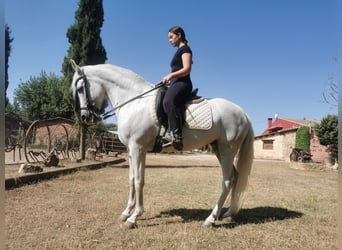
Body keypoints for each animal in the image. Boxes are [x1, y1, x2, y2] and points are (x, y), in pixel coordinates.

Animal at [70, 60, 254, 229]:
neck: (134, 101)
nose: (85, 117)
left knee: (227, 181)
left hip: (227, 150)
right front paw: (126, 212)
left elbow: (138, 181)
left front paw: (134, 217)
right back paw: (228, 213)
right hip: (218, 149)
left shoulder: (137, 148)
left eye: (80, 89)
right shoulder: (134, 150)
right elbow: (133, 179)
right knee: (235, 177)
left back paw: (211, 219)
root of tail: (243, 113)